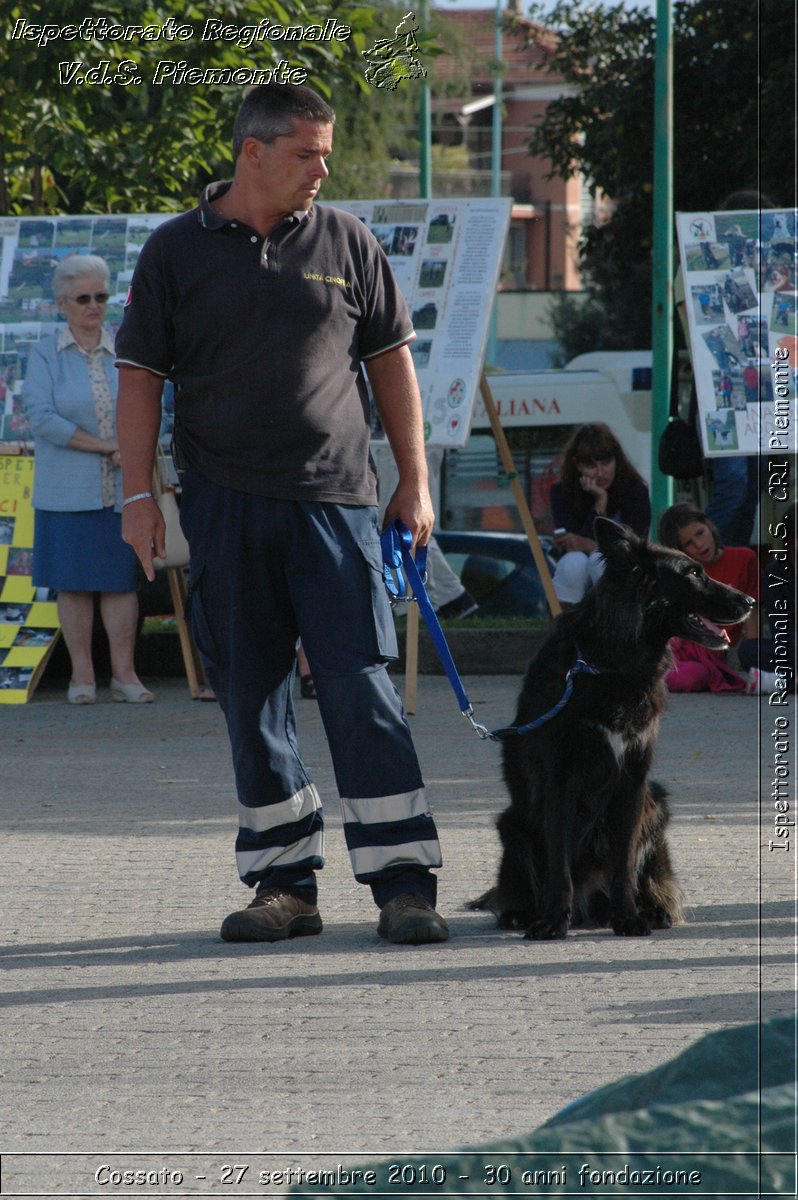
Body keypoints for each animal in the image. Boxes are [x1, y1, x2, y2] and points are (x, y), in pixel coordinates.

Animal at [470, 520, 758, 940]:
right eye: (692, 573)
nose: (751, 601)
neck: (609, 664)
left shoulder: (633, 779)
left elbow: (623, 863)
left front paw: (628, 917)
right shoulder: (560, 781)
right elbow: (559, 865)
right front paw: (554, 920)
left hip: (657, 804)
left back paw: (651, 909)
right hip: (513, 824)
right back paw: (522, 913)